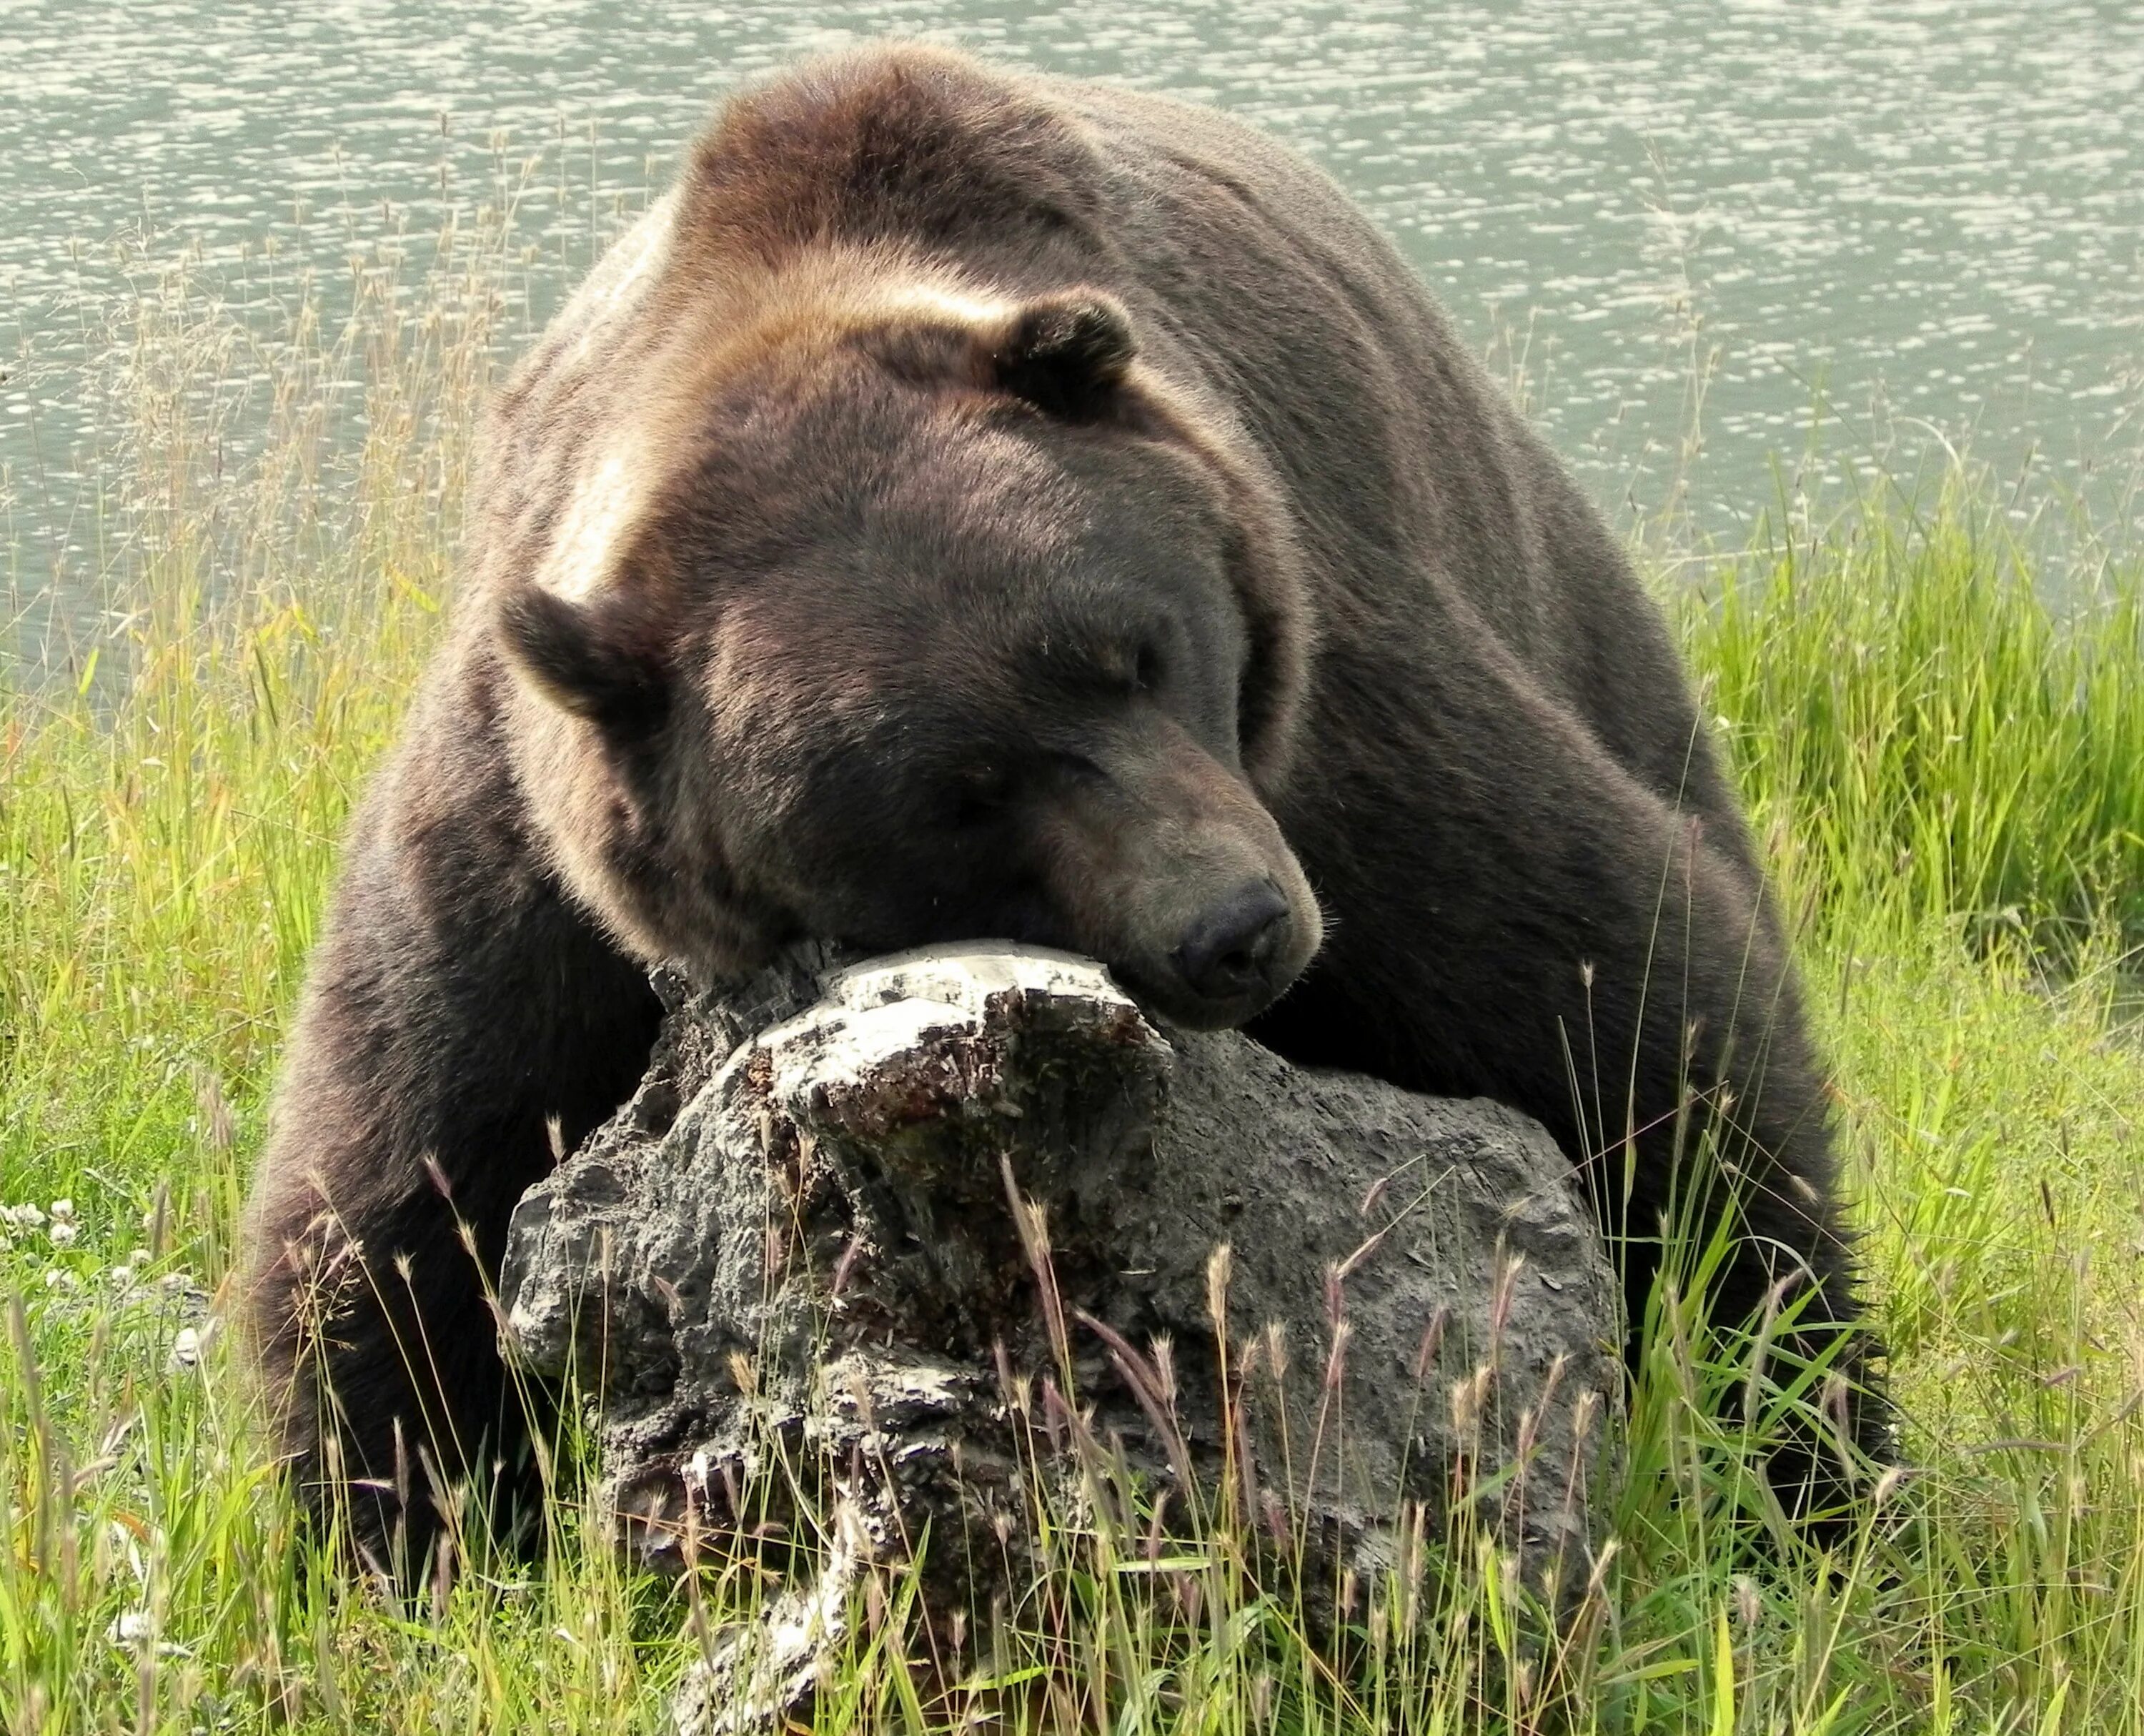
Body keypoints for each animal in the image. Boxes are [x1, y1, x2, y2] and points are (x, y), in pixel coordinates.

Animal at [239, 40, 1878, 1569]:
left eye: (1130, 649)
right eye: (960, 796)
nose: (1238, 927)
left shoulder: (1333, 725)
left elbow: (1635, 1024)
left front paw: (1806, 1445)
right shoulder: (532, 849)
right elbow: (396, 1175)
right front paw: (398, 1520)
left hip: (1569, 609)